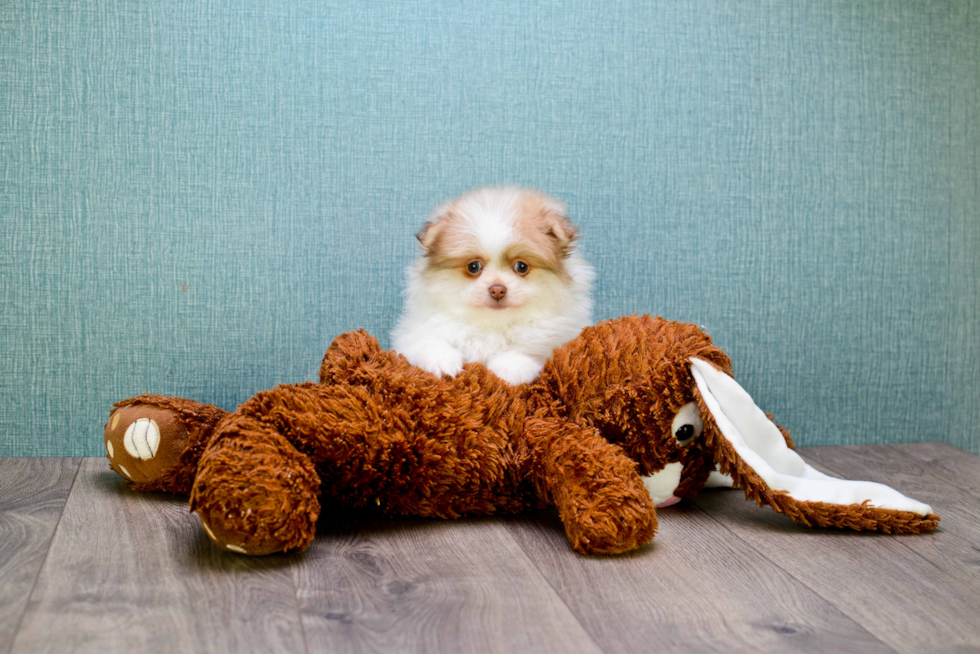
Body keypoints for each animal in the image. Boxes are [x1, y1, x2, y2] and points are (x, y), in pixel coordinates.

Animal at [392, 186, 592, 384]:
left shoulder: (557, 338)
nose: (497, 290)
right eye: (473, 266)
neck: (493, 326)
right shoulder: (414, 333)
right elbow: (428, 343)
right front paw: (442, 362)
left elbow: (528, 350)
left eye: (521, 266)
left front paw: (509, 369)